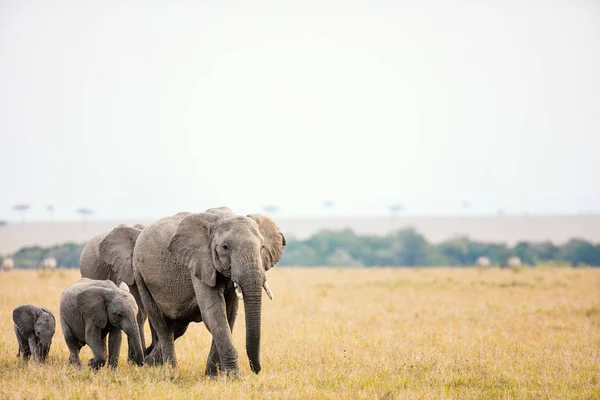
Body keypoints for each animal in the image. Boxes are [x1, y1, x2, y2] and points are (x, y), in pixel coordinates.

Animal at [133, 208, 286, 376]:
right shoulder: (200, 263)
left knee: (177, 327)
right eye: (225, 247)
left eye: (262, 247)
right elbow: (214, 313)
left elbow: (229, 314)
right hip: (140, 276)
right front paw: (234, 376)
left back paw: (150, 363)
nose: (256, 370)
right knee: (162, 325)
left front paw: (213, 375)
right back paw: (171, 370)